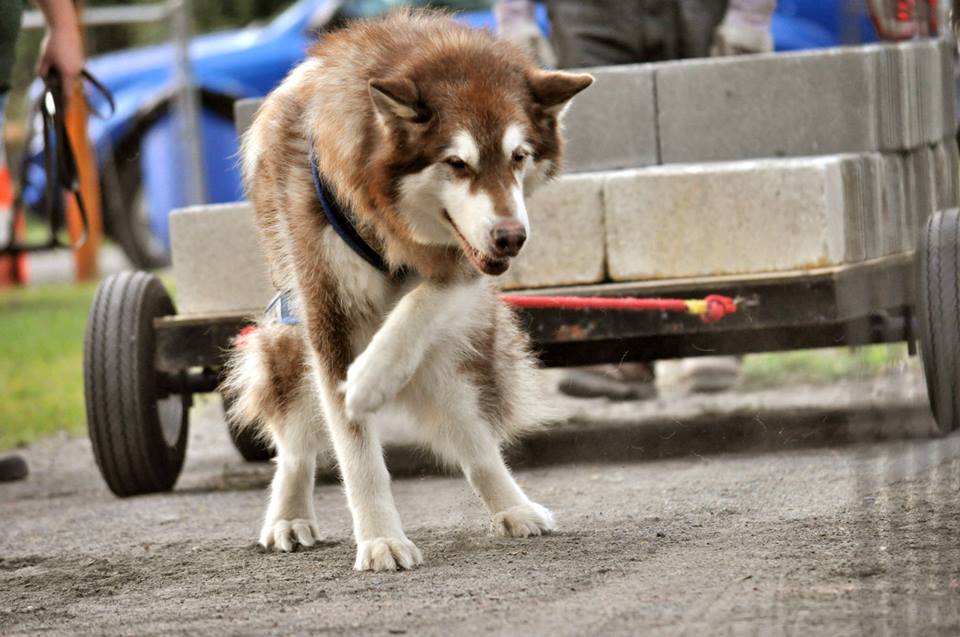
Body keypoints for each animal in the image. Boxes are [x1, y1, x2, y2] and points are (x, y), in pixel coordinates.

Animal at [224, 9, 592, 572]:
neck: (391, 225)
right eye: (457, 163)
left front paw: (373, 376)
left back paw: (513, 506)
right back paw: (288, 515)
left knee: (476, 442)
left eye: (519, 156)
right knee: (296, 444)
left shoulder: (464, 269)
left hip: (457, 361)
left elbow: (421, 305)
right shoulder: (325, 310)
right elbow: (355, 449)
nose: (512, 237)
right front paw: (380, 539)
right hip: (285, 342)